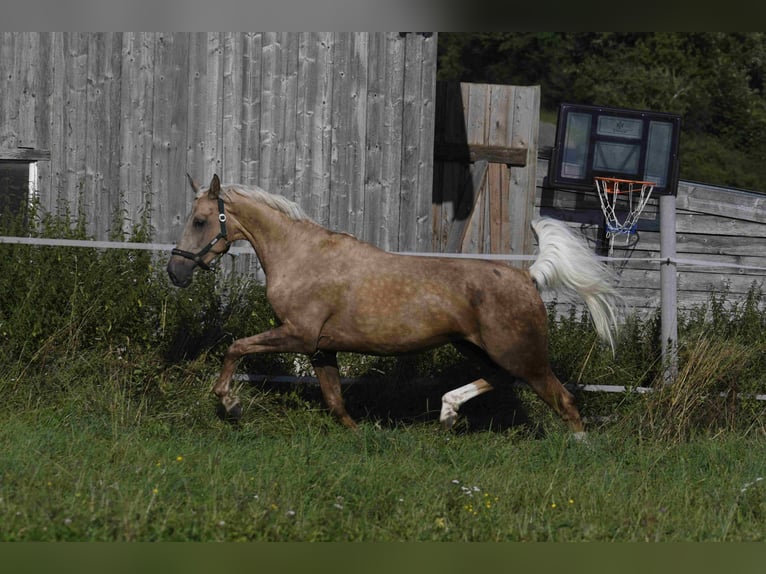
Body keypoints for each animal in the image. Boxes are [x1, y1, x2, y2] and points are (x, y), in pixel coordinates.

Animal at [168, 173, 624, 438]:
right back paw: (448, 412)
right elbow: (335, 400)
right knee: (501, 379)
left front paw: (230, 404)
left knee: (563, 401)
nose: (176, 271)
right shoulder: (320, 348)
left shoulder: (298, 334)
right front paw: (359, 434)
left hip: (523, 355)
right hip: (477, 347)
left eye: (200, 221)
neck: (301, 256)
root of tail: (528, 277)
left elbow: (236, 347)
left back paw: (579, 451)